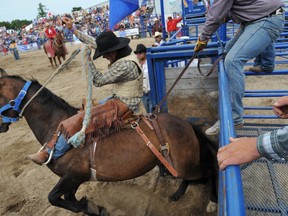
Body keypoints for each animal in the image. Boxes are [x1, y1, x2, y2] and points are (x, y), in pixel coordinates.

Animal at [0, 68, 218, 215]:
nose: (1, 126)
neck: (57, 128)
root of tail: (186, 124)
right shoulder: (75, 178)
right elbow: (68, 198)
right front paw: (92, 207)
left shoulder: (73, 175)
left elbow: (53, 197)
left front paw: (89, 206)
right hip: (181, 163)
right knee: (190, 177)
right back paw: (177, 194)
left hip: (187, 162)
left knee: (208, 171)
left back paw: (213, 201)